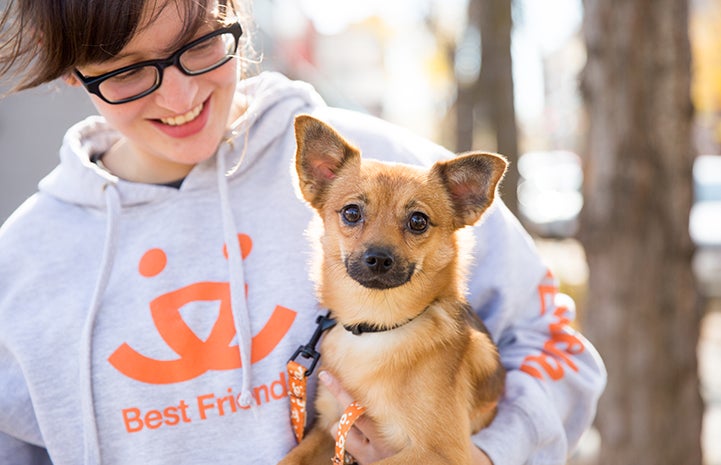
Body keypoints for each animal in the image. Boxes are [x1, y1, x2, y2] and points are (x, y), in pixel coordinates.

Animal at [278, 114, 504, 462]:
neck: (376, 326)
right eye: (351, 213)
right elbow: (292, 457)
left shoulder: (441, 453)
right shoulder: (330, 427)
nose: (379, 258)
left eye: (418, 221)